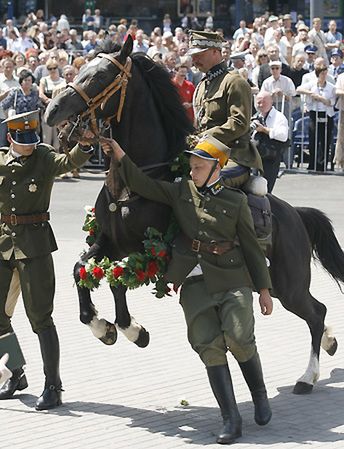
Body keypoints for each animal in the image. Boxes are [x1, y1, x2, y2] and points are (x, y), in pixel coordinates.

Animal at [45, 38, 344, 394]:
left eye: (101, 75)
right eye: (82, 66)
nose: (52, 110)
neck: (133, 181)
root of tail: (295, 214)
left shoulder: (155, 252)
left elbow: (118, 279)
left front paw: (126, 328)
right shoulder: (110, 242)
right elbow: (83, 269)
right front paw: (109, 326)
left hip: (288, 283)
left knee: (316, 312)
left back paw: (307, 375)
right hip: (273, 283)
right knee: (317, 311)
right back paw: (329, 342)